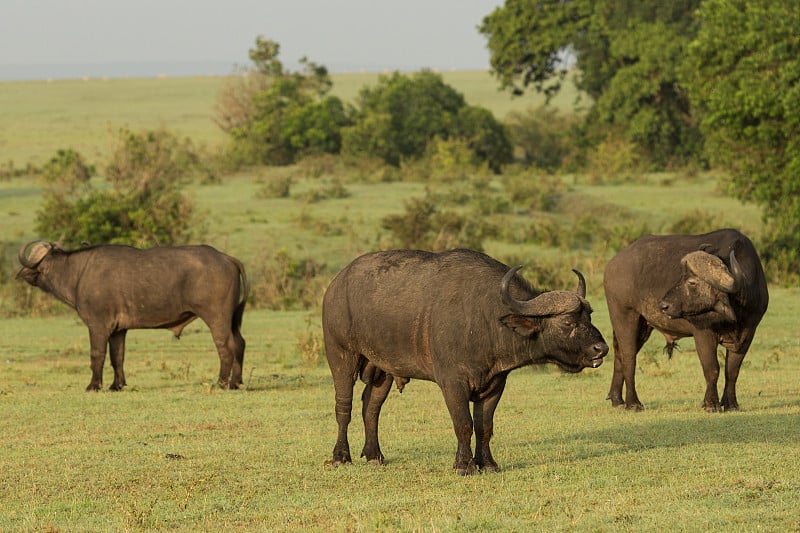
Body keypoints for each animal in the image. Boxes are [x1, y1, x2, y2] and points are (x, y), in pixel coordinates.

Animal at [15, 241, 247, 390]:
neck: (78, 273)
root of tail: (225, 257)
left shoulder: (97, 326)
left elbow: (97, 355)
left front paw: (93, 385)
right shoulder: (119, 330)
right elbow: (117, 357)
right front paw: (116, 385)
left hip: (217, 319)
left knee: (225, 347)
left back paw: (221, 383)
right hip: (232, 320)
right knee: (239, 343)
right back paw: (235, 382)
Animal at [318, 247, 608, 476]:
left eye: (589, 316)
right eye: (568, 322)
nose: (601, 349)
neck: (486, 319)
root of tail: (334, 286)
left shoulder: (495, 385)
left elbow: (484, 426)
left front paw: (487, 463)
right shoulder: (452, 384)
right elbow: (464, 424)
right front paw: (464, 465)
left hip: (383, 370)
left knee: (371, 406)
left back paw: (374, 455)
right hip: (341, 357)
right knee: (344, 407)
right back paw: (340, 456)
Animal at [608, 229, 768, 412]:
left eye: (692, 282)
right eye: (681, 277)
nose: (663, 305)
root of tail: (612, 264)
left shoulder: (747, 334)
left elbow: (732, 370)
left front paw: (731, 404)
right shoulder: (703, 333)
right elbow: (712, 369)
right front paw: (711, 404)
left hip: (643, 326)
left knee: (619, 356)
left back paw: (617, 399)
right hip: (625, 316)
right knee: (629, 358)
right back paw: (633, 403)